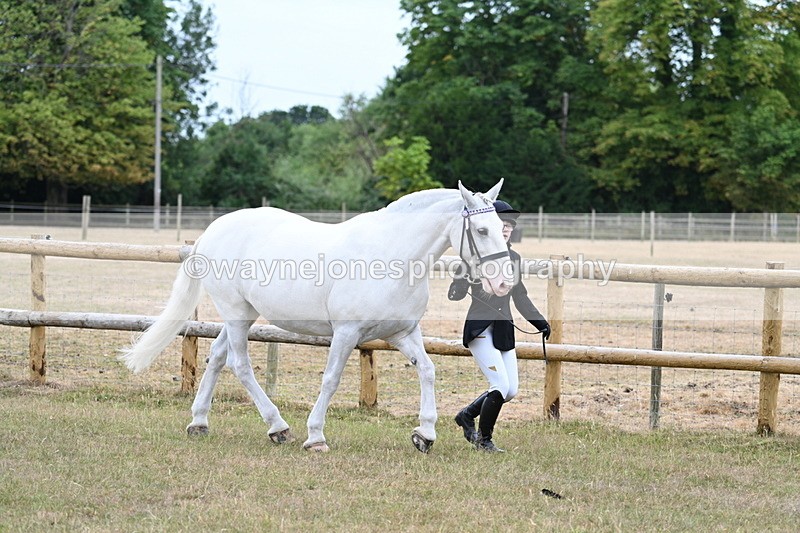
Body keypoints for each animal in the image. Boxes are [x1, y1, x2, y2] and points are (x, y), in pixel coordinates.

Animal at [120, 180, 514, 453]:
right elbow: (331, 380)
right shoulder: (346, 333)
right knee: (239, 364)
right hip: (234, 312)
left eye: (500, 228)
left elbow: (428, 371)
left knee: (217, 358)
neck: (391, 257)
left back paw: (200, 421)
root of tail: (212, 232)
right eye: (481, 231)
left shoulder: (403, 333)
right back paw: (277, 426)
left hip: (244, 315)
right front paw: (316, 436)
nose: (503, 283)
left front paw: (425, 434)